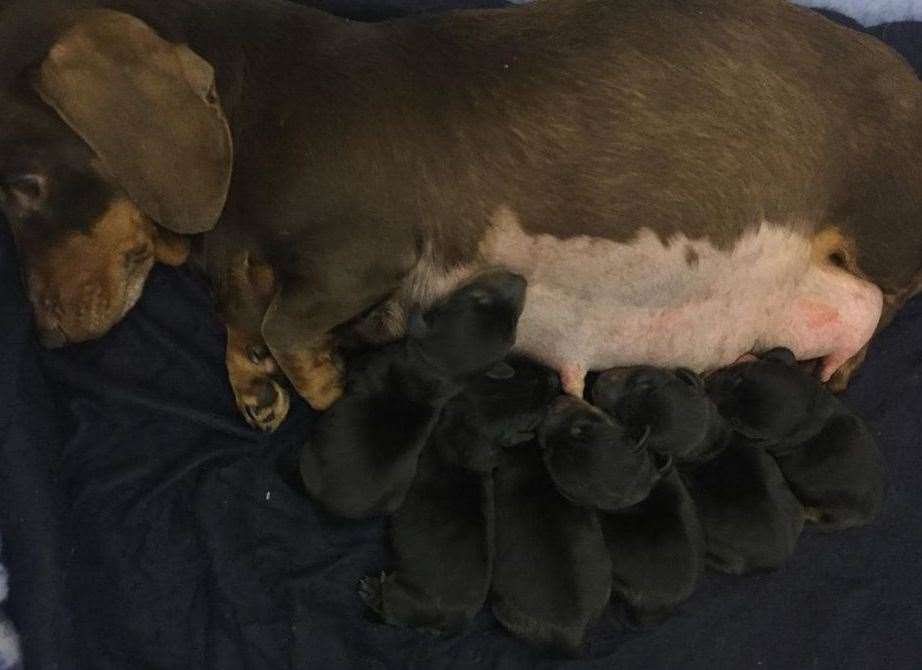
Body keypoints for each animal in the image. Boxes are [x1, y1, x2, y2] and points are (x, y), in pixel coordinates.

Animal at [1, 0, 920, 430]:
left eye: (23, 187)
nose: (43, 338)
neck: (246, 99)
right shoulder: (247, 258)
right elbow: (243, 307)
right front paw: (253, 380)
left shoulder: (363, 252)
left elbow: (285, 320)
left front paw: (320, 380)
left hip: (882, 235)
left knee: (886, 302)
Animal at [298, 270, 520, 524]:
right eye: (478, 297)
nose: (521, 280)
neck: (433, 369)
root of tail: (334, 509)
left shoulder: (370, 363)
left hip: (308, 458)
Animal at [362, 356, 556, 636]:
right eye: (528, 371)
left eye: (532, 420)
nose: (555, 379)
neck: (468, 424)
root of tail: (447, 624)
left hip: (404, 597)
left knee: (391, 610)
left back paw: (373, 592)